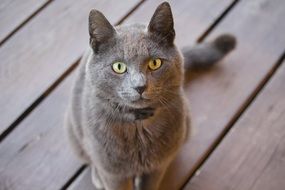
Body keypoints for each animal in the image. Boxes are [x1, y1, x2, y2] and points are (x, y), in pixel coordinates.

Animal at [65, 1, 235, 190]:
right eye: (118, 66)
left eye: (155, 63)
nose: (139, 86)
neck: (139, 128)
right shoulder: (114, 173)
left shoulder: (157, 167)